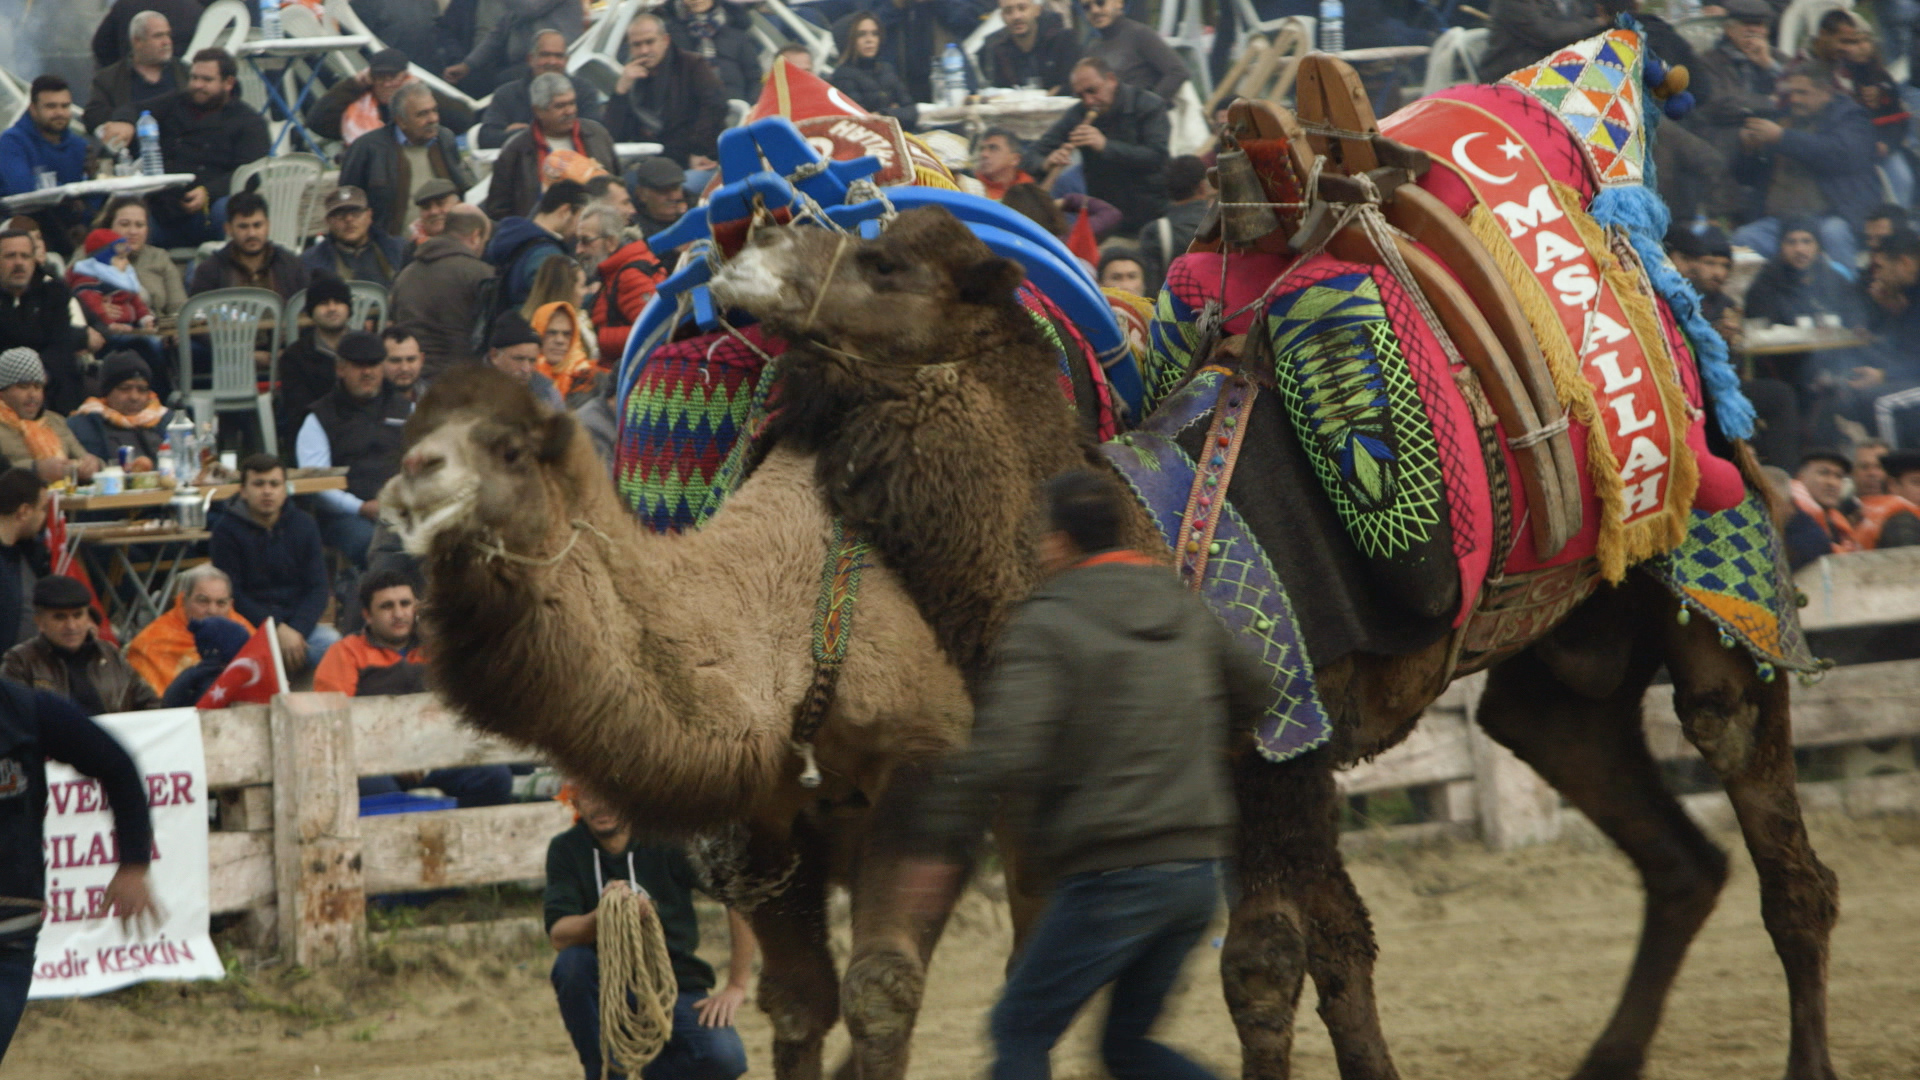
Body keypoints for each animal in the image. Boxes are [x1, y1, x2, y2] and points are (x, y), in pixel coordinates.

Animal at [378, 367, 975, 1076]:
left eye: (510, 450)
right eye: (412, 436)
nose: (416, 468)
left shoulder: (929, 759)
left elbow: (880, 991)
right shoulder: (767, 819)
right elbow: (799, 1001)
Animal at [714, 203, 1835, 1076]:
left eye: (884, 264)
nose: (747, 237)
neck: (1145, 544)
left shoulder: (1275, 755)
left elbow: (1264, 967)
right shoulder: (1287, 766)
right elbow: (1339, 951)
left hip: (1720, 587)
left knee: (1782, 849)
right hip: (1561, 682)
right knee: (1666, 845)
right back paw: (1608, 1055)